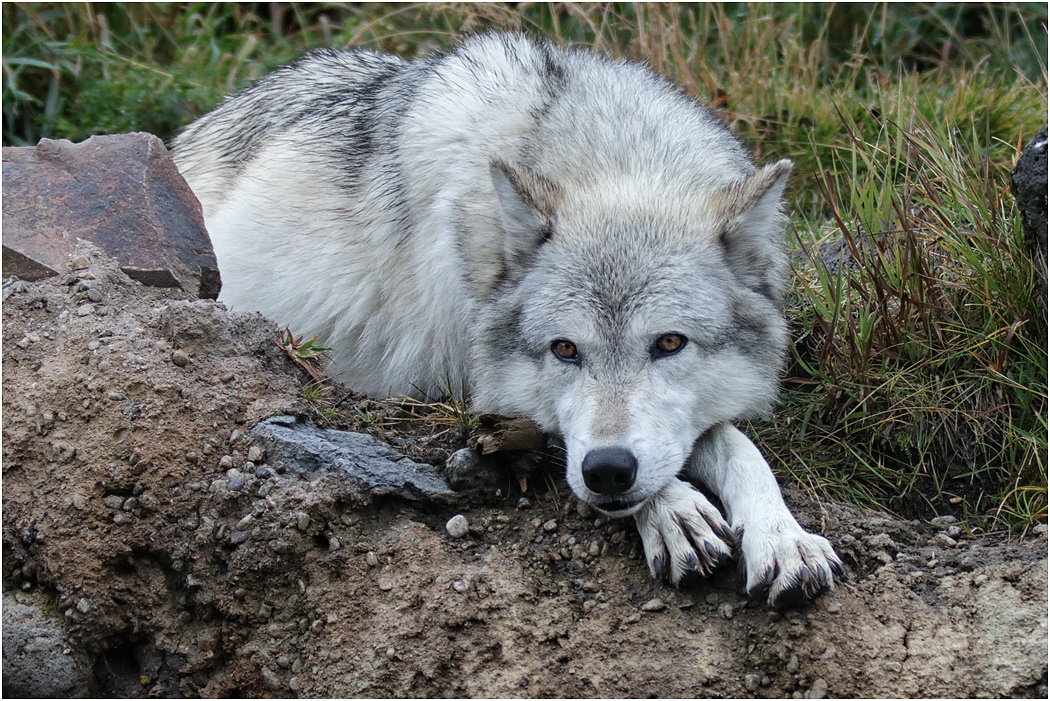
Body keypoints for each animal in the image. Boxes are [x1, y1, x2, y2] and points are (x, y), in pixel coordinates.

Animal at [172, 33, 843, 607]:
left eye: (670, 343)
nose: (608, 471)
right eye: (565, 350)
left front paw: (782, 538)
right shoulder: (487, 389)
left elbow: (736, 446)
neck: (613, 163)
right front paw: (673, 509)